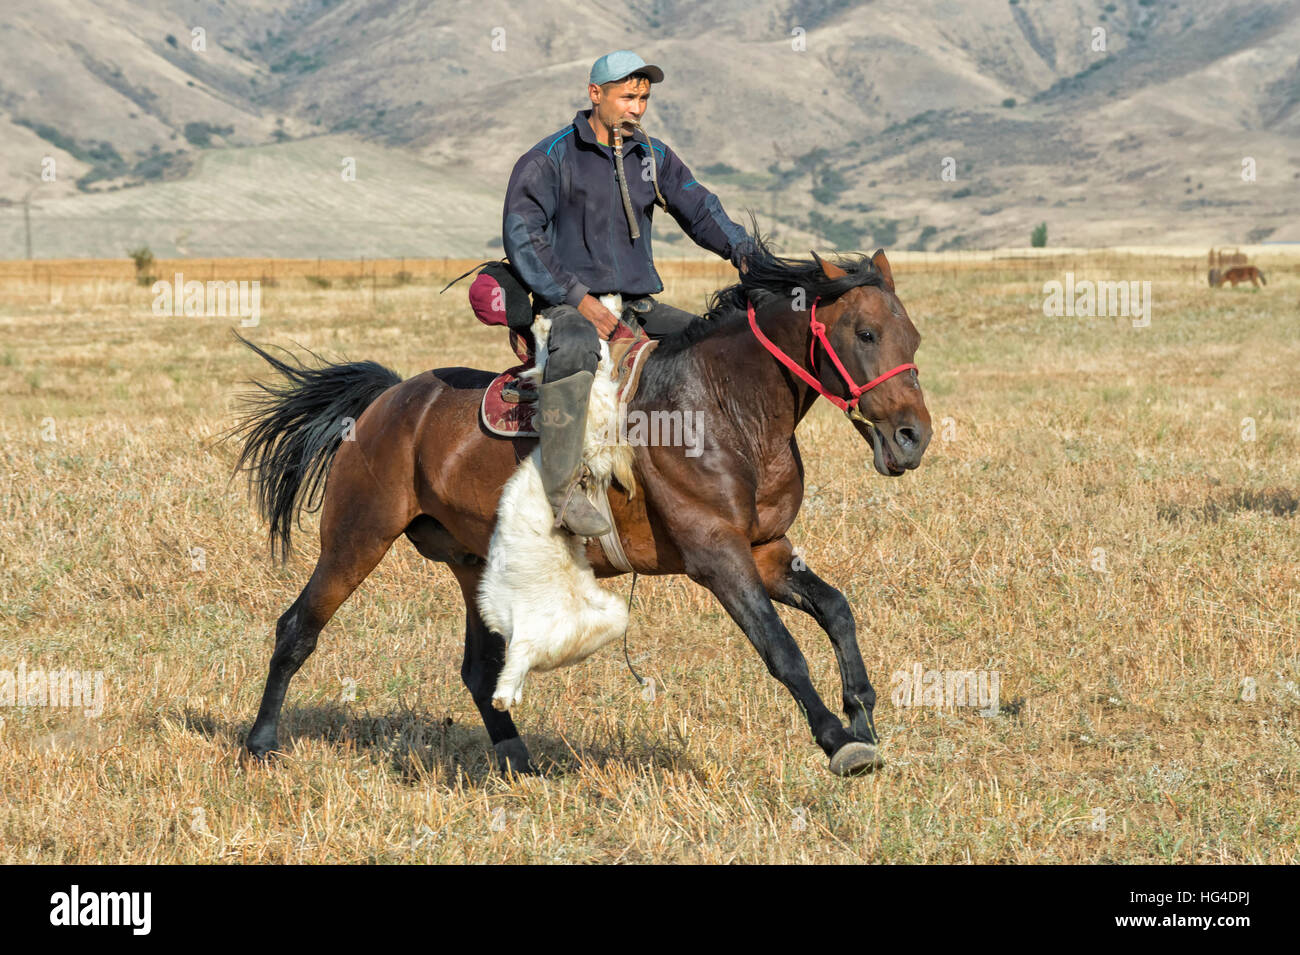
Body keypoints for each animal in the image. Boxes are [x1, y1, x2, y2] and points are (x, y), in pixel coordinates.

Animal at [231, 237, 925, 779]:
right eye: (865, 333)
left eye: (912, 336)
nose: (913, 437)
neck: (723, 407)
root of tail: (388, 400)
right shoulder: (718, 556)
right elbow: (782, 649)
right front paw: (838, 742)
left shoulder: (766, 551)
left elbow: (836, 611)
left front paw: (862, 713)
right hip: (356, 538)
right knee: (296, 629)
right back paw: (260, 745)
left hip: (471, 563)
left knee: (479, 672)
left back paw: (519, 764)